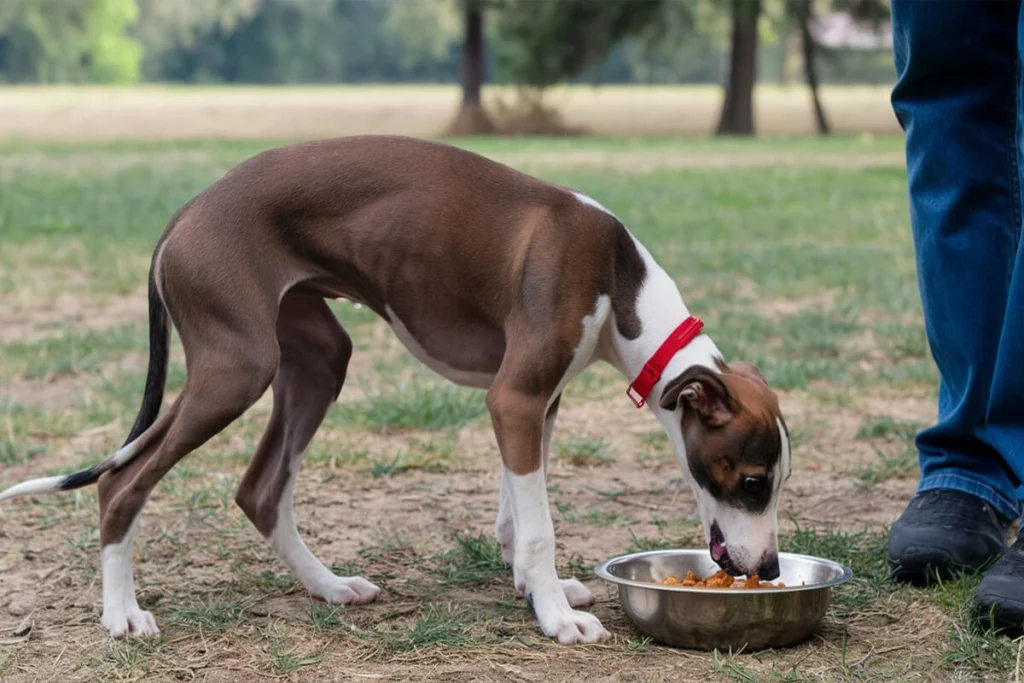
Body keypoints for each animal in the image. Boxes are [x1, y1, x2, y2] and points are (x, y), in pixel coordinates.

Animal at [0, 135, 790, 647]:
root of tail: (184, 214)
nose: (770, 569)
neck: (618, 279)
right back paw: (122, 615)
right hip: (237, 367)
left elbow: (514, 517)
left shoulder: (537, 403)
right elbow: (537, 525)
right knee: (123, 479)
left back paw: (330, 587)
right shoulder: (516, 398)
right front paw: (556, 618)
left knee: (260, 490)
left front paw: (536, 589)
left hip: (317, 360)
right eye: (752, 481)